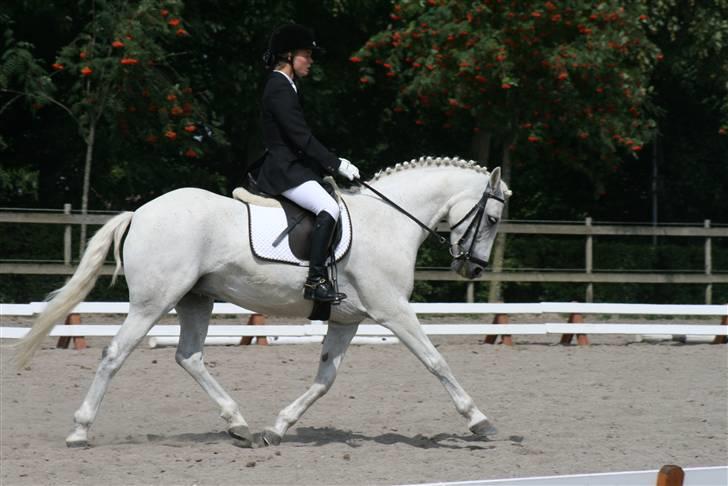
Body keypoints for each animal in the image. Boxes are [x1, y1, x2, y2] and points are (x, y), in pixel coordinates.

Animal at [14, 156, 511, 448]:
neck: (389, 221)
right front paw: (480, 420)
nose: (473, 270)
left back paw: (240, 425)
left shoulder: (346, 319)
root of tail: (140, 212)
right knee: (115, 353)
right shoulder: (394, 311)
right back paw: (80, 430)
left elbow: (324, 379)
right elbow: (436, 361)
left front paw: (278, 427)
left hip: (196, 299)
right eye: (491, 217)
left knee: (189, 356)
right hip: (153, 302)